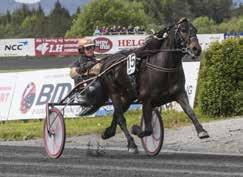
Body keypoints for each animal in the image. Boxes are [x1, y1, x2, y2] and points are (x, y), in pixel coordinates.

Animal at [84, 18, 208, 153]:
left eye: (195, 30)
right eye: (183, 30)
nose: (196, 49)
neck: (164, 67)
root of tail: (106, 62)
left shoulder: (179, 93)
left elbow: (190, 111)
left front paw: (202, 131)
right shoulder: (146, 100)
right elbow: (148, 129)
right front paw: (136, 129)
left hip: (127, 97)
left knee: (117, 113)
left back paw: (108, 132)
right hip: (114, 93)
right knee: (121, 119)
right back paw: (131, 144)